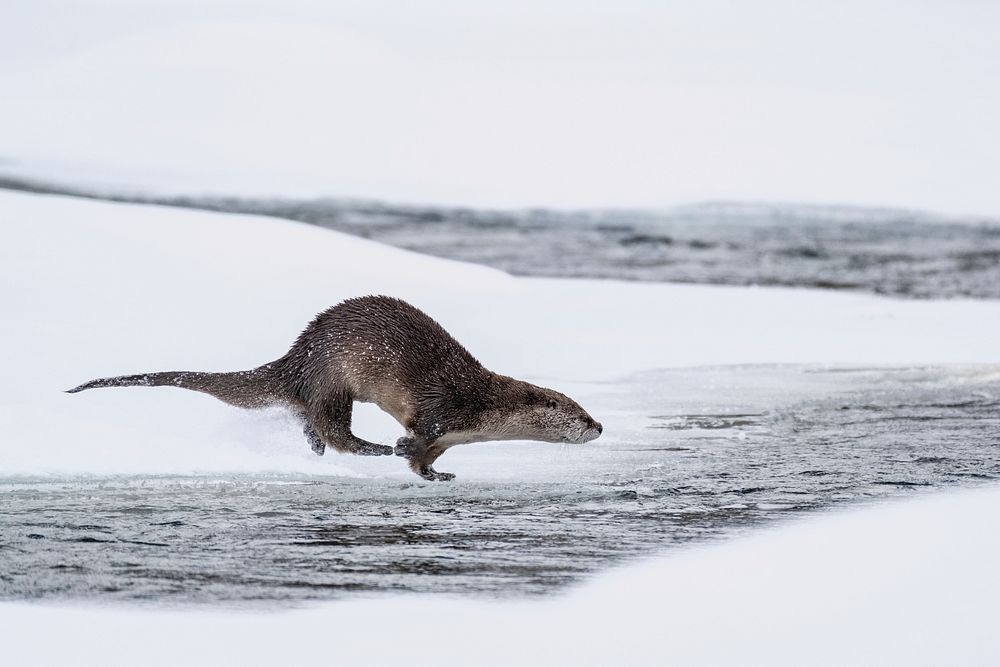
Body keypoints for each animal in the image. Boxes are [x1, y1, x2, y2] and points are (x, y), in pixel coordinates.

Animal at [72, 298, 600, 480]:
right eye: (576, 411)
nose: (599, 425)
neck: (482, 406)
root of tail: (295, 358)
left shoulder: (448, 438)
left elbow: (424, 462)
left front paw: (439, 476)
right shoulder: (442, 411)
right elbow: (416, 440)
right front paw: (399, 449)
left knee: (311, 422)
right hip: (334, 378)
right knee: (333, 427)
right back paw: (371, 448)